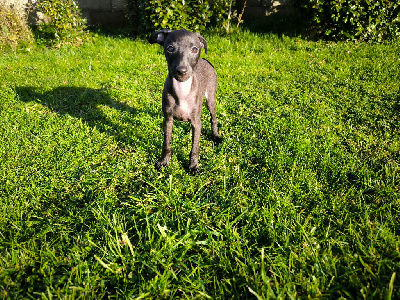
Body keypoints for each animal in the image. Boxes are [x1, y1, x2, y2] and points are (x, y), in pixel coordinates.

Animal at [149, 29, 222, 175]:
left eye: (194, 49)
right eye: (170, 48)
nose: (181, 71)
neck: (182, 89)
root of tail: (205, 60)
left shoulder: (196, 123)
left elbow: (195, 148)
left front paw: (193, 166)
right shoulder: (167, 120)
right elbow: (166, 144)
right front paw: (164, 162)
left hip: (210, 99)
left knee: (213, 118)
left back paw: (216, 136)